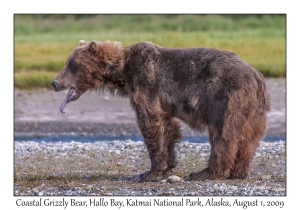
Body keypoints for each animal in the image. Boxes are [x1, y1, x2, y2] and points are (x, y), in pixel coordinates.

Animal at [52, 40, 272, 182]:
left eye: (71, 64)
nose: (54, 82)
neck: (122, 71)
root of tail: (257, 75)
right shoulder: (163, 101)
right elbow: (167, 127)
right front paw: (168, 165)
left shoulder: (145, 82)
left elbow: (150, 122)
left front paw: (149, 173)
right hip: (253, 109)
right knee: (249, 138)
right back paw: (238, 171)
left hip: (224, 95)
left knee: (223, 133)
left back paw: (207, 172)